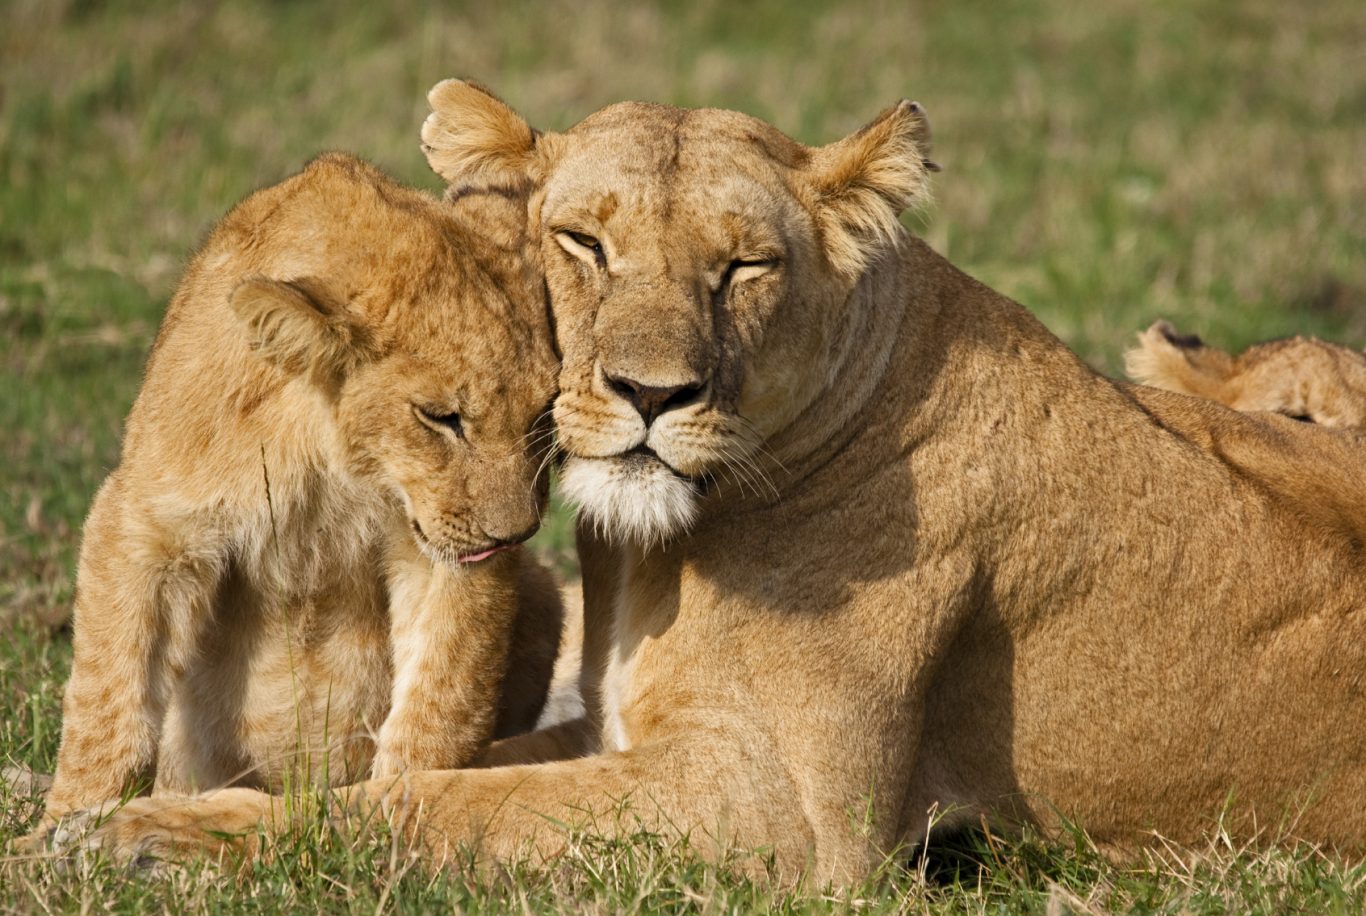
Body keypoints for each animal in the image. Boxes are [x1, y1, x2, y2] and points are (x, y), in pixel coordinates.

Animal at [37, 152, 563, 824]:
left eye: (543, 412)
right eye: (440, 417)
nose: (518, 533)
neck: (334, 460)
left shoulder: (443, 555)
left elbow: (441, 695)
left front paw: (392, 806)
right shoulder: (145, 521)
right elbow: (108, 699)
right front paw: (72, 823)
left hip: (545, 594)